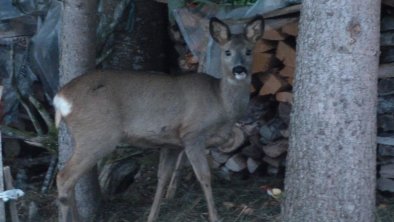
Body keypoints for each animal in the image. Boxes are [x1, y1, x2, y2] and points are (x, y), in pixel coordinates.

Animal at [53, 16, 264, 222]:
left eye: (248, 51)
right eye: (227, 52)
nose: (239, 69)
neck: (221, 102)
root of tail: (61, 97)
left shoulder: (172, 143)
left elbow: (162, 178)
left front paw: (152, 216)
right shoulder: (192, 134)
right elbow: (204, 176)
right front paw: (214, 217)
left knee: (70, 179)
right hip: (98, 134)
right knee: (63, 177)